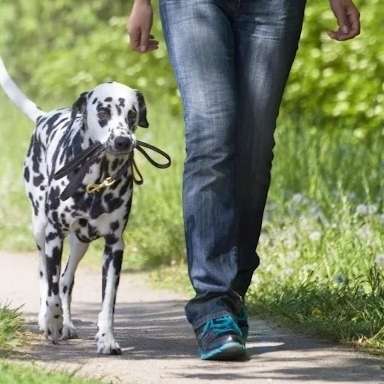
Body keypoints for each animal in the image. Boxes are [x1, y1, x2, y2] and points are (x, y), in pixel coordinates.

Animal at [0, 57, 148, 354]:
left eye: (132, 114)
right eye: (102, 112)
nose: (123, 141)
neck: (97, 180)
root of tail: (43, 116)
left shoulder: (114, 246)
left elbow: (107, 302)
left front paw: (107, 338)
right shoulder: (54, 236)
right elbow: (52, 291)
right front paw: (52, 322)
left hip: (81, 241)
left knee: (67, 280)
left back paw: (67, 323)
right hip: (40, 229)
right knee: (46, 278)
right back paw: (48, 320)